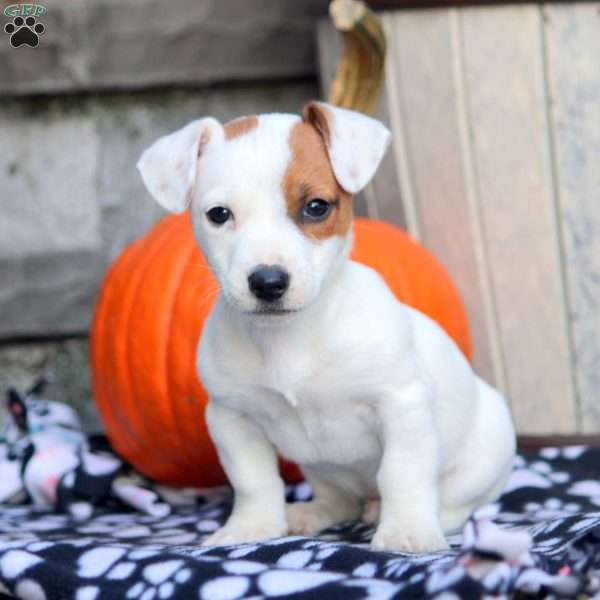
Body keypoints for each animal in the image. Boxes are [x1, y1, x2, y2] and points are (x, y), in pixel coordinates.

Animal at [137, 103, 516, 552]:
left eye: (316, 207)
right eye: (218, 215)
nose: (268, 282)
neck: (291, 337)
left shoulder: (401, 407)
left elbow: (402, 474)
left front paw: (405, 532)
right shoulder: (232, 418)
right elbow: (253, 481)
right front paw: (252, 527)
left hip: (483, 457)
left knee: (458, 503)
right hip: (321, 469)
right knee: (339, 501)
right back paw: (310, 513)